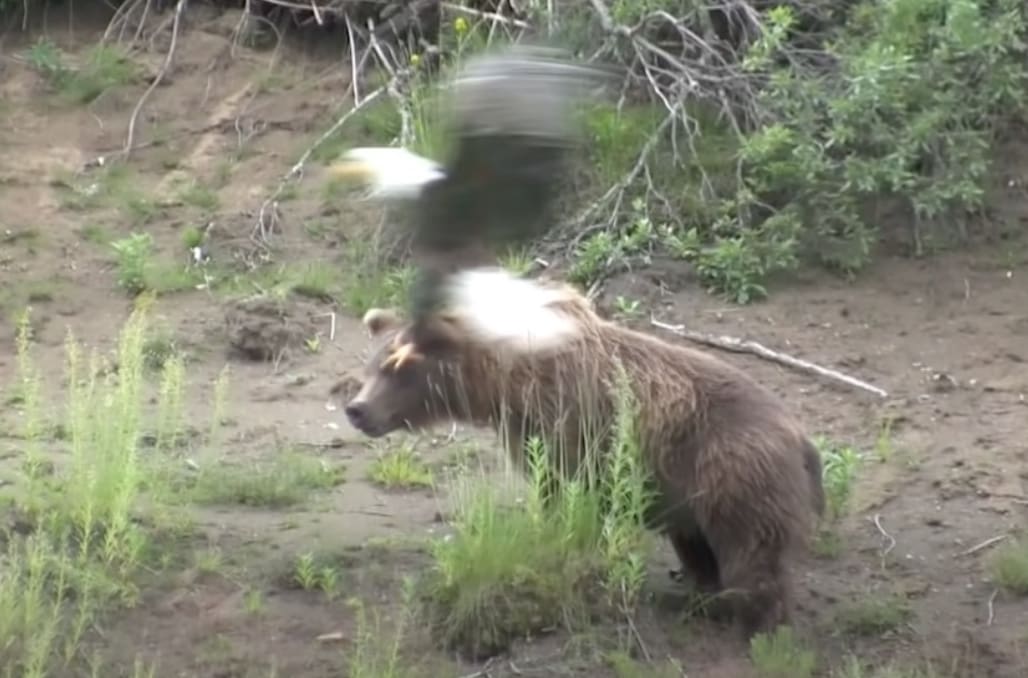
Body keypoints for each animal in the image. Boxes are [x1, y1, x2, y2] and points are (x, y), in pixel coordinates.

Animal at [338, 267, 826, 639]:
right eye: (373, 364)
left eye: (399, 366)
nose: (357, 409)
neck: (506, 384)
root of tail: (802, 436)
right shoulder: (529, 426)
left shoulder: (570, 422)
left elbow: (561, 489)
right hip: (693, 494)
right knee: (698, 544)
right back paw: (693, 594)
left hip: (733, 470)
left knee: (752, 556)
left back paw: (753, 625)